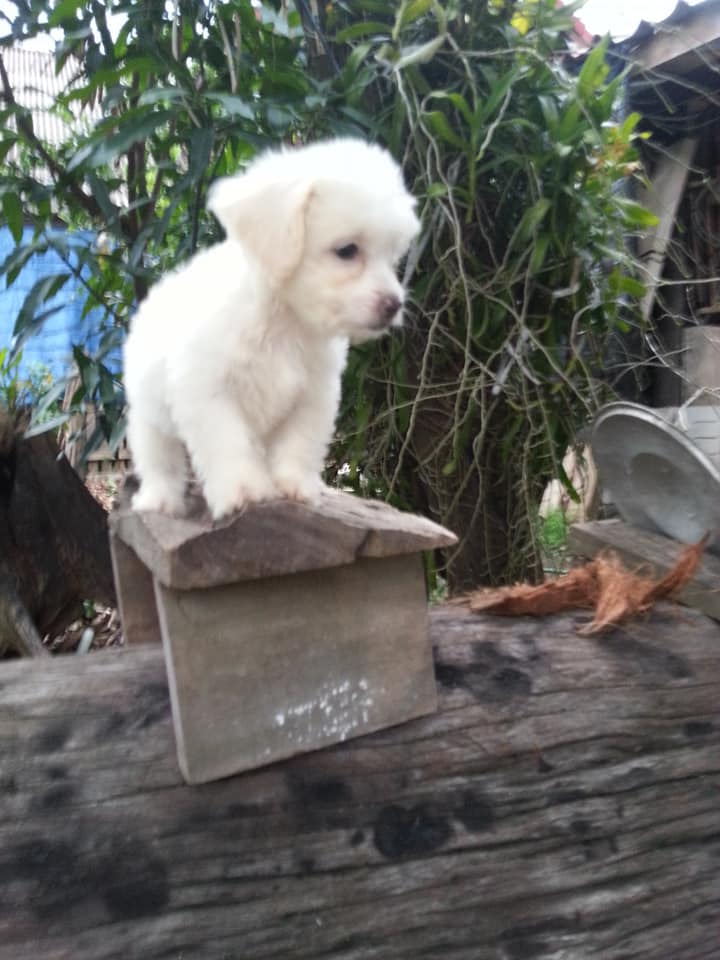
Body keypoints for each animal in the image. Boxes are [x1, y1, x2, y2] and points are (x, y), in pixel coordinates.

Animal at [123, 138, 420, 520]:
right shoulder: (210, 394)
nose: (393, 304)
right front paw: (244, 491)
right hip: (150, 416)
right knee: (160, 459)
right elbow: (228, 443)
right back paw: (159, 499)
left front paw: (295, 486)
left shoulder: (312, 396)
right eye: (346, 250)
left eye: (393, 256)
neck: (284, 321)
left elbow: (299, 444)